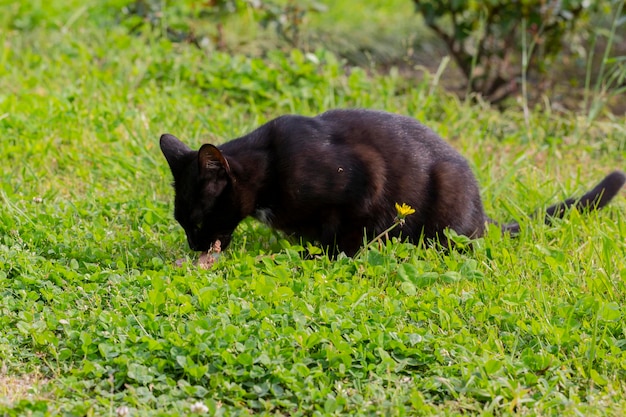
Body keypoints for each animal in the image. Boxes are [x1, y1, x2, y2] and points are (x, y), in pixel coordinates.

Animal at [160, 109, 620, 255]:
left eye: (197, 221)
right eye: (183, 223)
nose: (195, 247)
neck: (268, 165)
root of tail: (484, 214)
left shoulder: (366, 180)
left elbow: (343, 232)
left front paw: (325, 256)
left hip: (447, 201)